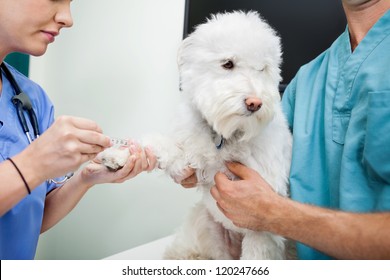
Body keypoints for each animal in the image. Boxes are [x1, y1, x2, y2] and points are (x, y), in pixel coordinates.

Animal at [102, 10, 290, 260]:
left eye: (263, 69)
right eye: (227, 64)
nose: (255, 103)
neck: (223, 135)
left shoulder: (262, 223)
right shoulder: (187, 158)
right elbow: (159, 144)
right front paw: (120, 154)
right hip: (204, 222)